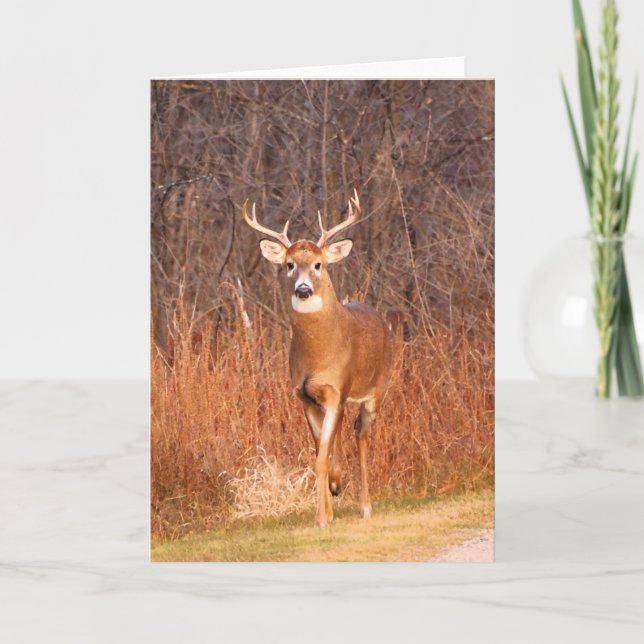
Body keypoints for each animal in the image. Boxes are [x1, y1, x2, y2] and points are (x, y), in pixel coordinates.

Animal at [243, 191, 393, 528]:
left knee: (362, 435)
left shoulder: (337, 390)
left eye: (318, 264)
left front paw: (322, 517)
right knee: (343, 432)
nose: (303, 288)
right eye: (288, 265)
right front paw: (330, 500)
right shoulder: (305, 396)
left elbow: (321, 456)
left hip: (376, 391)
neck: (318, 356)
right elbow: (318, 453)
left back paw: (365, 506)